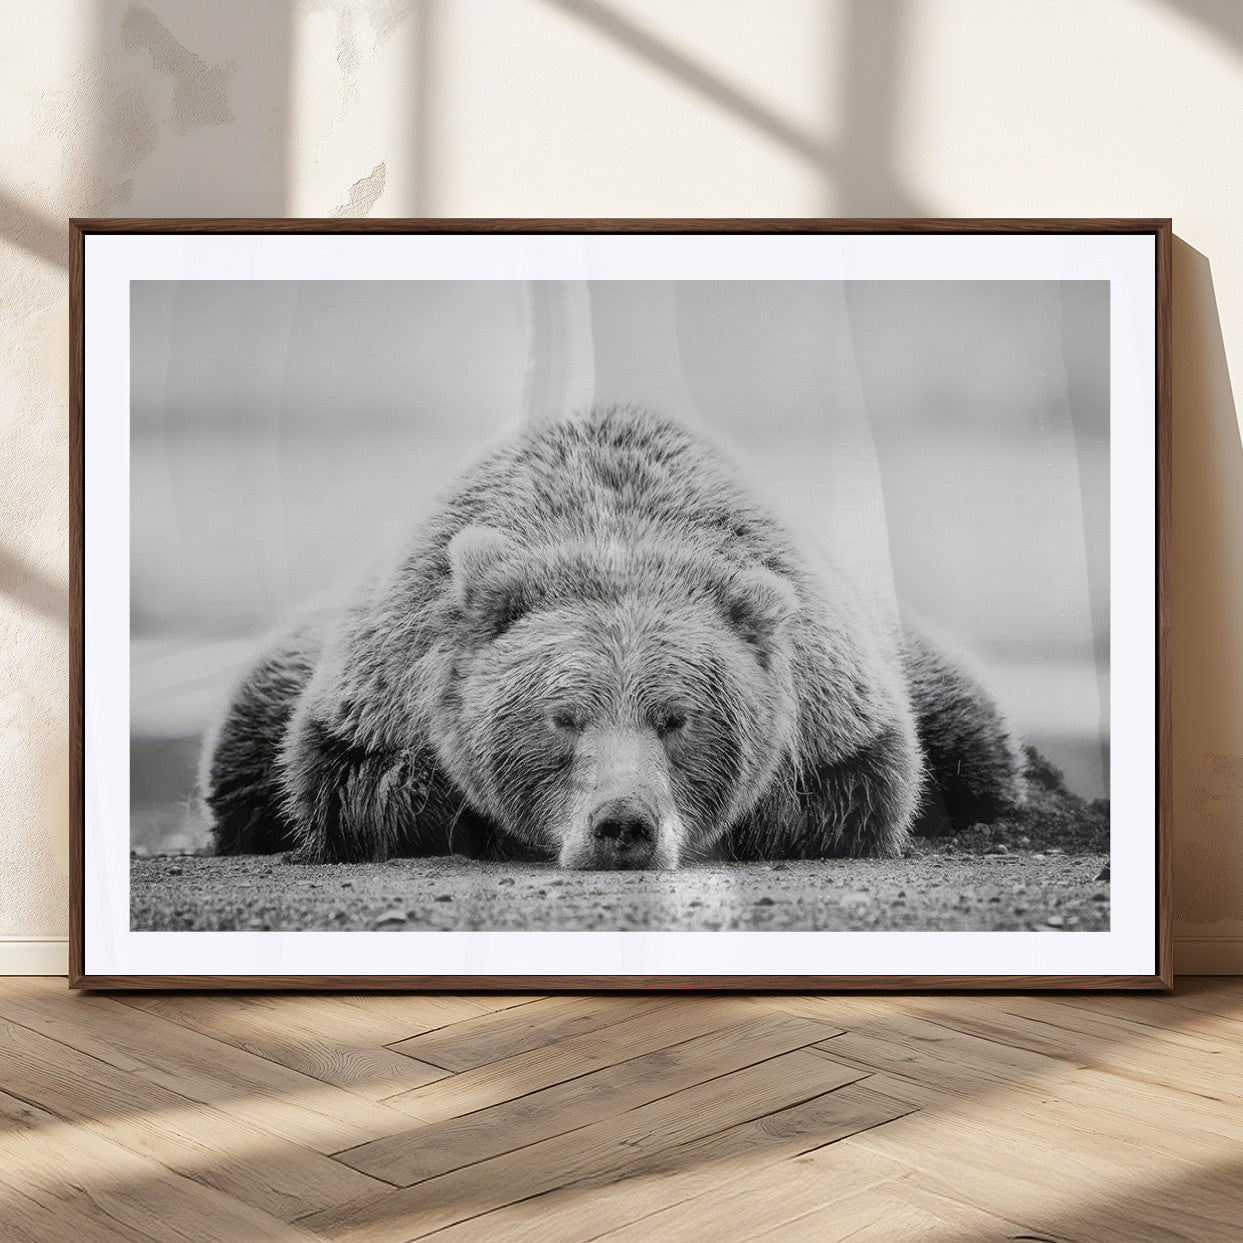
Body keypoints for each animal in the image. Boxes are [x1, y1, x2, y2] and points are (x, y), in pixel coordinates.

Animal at [201, 406, 1019, 869]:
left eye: (677, 718)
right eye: (562, 716)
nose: (622, 824)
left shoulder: (836, 706)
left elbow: (858, 791)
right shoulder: (379, 689)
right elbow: (356, 784)